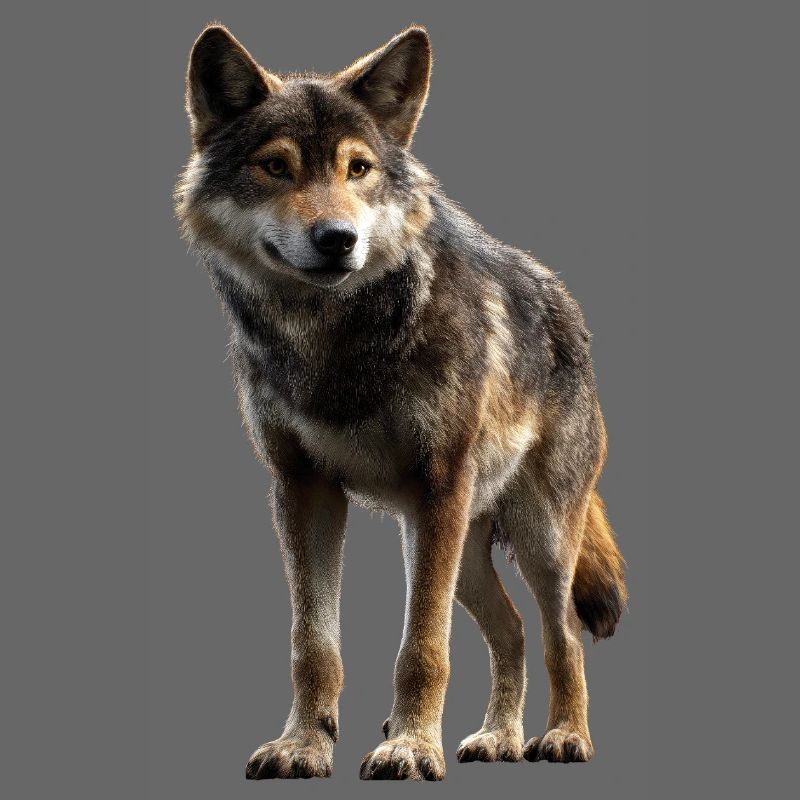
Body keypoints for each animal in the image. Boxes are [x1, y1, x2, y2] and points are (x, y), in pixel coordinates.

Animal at [176, 23, 627, 781]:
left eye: (358, 169)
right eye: (276, 168)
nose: (338, 239)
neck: (333, 340)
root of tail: (566, 303)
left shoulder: (437, 486)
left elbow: (422, 648)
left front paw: (411, 747)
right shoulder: (303, 489)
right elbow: (313, 646)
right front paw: (303, 745)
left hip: (529, 537)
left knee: (559, 633)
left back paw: (564, 737)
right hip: (457, 549)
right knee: (511, 633)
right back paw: (498, 739)